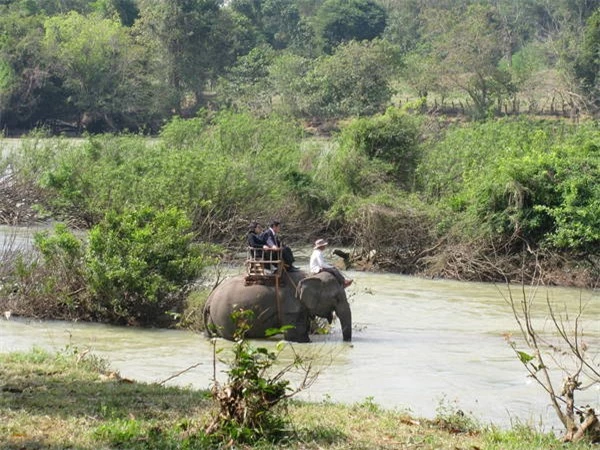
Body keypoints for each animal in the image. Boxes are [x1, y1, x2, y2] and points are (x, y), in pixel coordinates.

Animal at [203, 268, 352, 342]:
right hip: (224, 317)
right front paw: (305, 341)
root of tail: (208, 300)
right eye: (336, 298)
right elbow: (295, 335)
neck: (311, 275)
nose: (347, 342)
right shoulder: (290, 305)